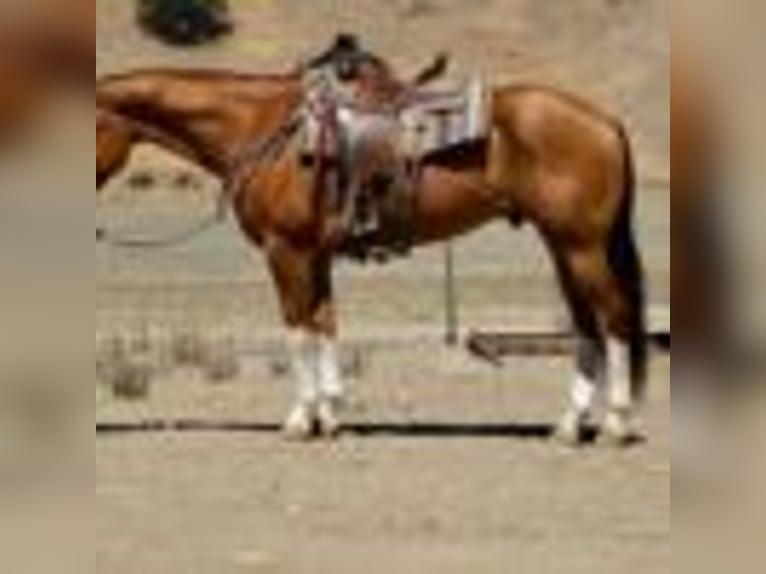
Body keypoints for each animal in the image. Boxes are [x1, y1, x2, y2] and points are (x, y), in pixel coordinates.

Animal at [96, 60, 646, 445]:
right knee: (586, 325)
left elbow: (297, 329)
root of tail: (604, 119)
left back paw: (615, 425)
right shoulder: (314, 256)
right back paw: (571, 425)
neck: (259, 126)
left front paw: (300, 419)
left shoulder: (285, 251)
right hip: (563, 246)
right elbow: (324, 324)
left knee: (614, 318)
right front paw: (332, 415)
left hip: (582, 246)